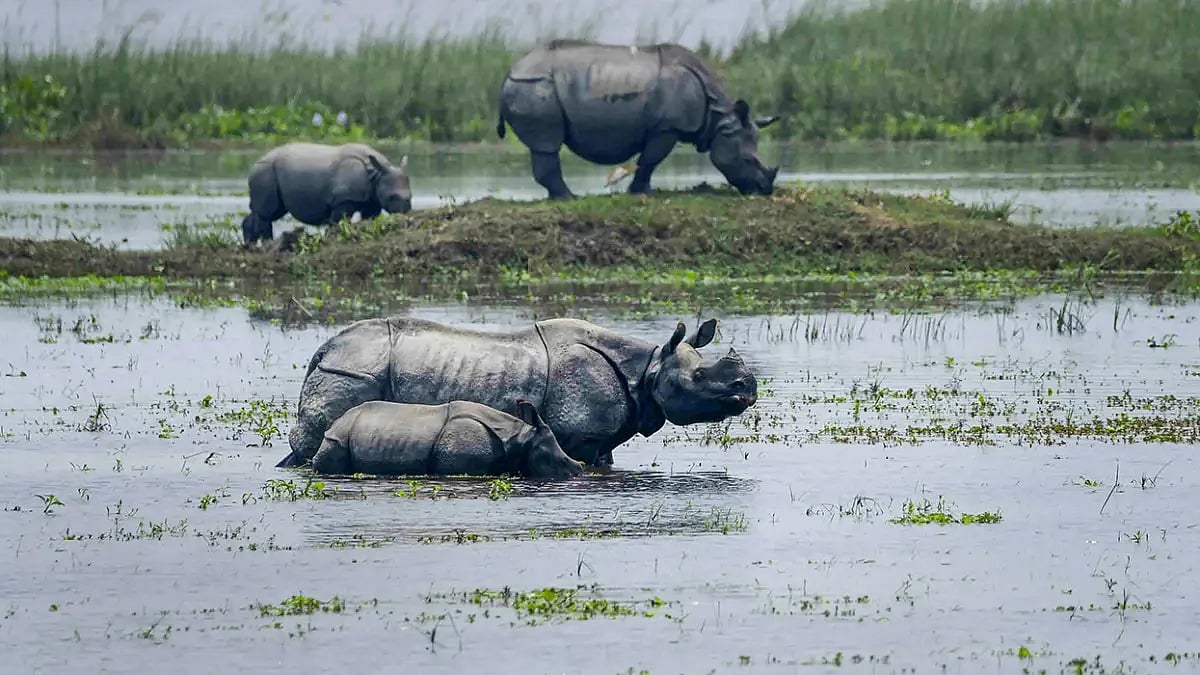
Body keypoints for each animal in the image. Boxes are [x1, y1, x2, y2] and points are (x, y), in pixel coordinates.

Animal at [241, 142, 412, 246]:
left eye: (410, 197)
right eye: (391, 197)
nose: (405, 213)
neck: (376, 174)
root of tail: (255, 163)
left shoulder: (372, 199)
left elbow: (369, 217)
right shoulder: (343, 199)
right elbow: (338, 221)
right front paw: (333, 237)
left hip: (269, 172)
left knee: (268, 212)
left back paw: (250, 244)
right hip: (265, 171)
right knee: (266, 212)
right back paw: (266, 243)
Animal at [277, 317, 758, 469]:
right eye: (699, 378)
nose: (748, 388)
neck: (650, 367)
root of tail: (323, 351)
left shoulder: (600, 440)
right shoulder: (579, 436)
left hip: (347, 369)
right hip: (351, 374)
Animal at [496, 40, 780, 199]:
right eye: (747, 159)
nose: (764, 190)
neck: (719, 118)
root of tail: (510, 72)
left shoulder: (665, 128)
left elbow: (648, 161)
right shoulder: (666, 127)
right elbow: (650, 161)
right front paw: (644, 193)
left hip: (532, 86)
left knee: (544, 147)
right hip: (534, 86)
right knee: (547, 145)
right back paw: (569, 198)